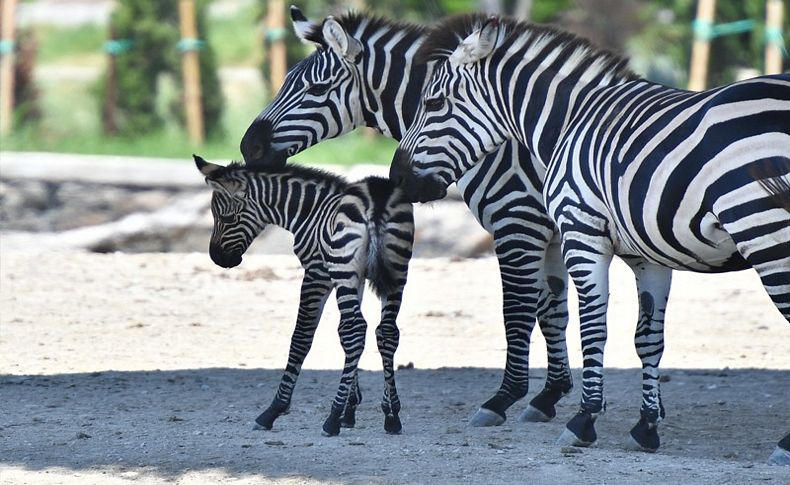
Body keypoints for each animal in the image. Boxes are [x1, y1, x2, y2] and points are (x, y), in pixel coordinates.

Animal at [193, 152, 414, 434]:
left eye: (227, 218)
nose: (217, 259)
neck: (309, 212)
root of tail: (376, 198)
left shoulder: (318, 273)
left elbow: (302, 337)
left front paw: (275, 409)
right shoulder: (355, 277)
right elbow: (343, 333)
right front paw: (351, 409)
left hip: (348, 269)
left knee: (356, 330)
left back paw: (331, 418)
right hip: (396, 272)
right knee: (385, 331)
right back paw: (392, 415)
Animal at [241, 7, 576, 428]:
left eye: (315, 90)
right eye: (284, 83)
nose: (247, 146)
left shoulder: (518, 222)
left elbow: (518, 310)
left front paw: (506, 398)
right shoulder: (547, 233)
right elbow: (553, 310)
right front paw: (550, 394)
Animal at [392, 14, 790, 462]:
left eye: (432, 104)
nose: (397, 178)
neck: (568, 122)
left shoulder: (581, 235)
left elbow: (592, 328)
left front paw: (582, 421)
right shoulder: (648, 256)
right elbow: (648, 338)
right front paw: (645, 428)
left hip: (765, 231)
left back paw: (785, 445)